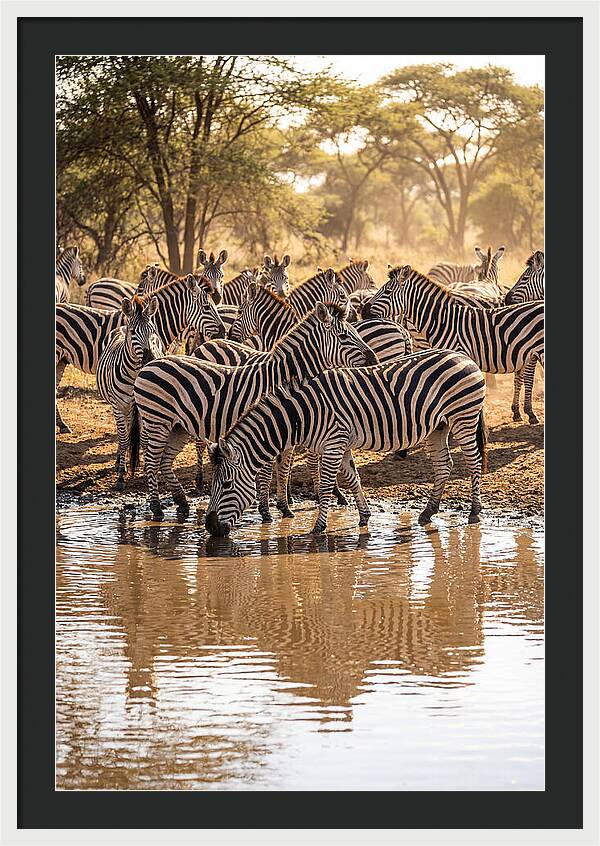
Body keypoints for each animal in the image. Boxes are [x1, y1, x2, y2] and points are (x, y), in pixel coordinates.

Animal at [97, 295, 164, 490]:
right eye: (134, 332)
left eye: (153, 331)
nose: (151, 359)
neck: (135, 375)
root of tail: (121, 327)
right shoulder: (119, 406)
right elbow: (124, 438)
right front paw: (120, 476)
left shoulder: (147, 409)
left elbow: (145, 439)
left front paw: (149, 470)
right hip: (119, 407)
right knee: (123, 434)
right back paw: (120, 461)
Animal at [129, 302, 378, 521]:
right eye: (344, 336)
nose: (374, 359)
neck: (282, 378)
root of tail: (148, 365)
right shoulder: (269, 427)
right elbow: (267, 472)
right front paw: (266, 512)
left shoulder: (287, 430)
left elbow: (284, 468)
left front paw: (285, 508)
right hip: (157, 421)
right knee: (151, 462)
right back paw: (157, 509)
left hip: (178, 427)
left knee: (164, 462)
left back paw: (181, 503)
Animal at [204, 348, 488, 536]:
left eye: (226, 484)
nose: (210, 526)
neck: (304, 413)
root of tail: (464, 357)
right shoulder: (340, 445)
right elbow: (353, 479)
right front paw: (364, 516)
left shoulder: (334, 443)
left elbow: (326, 488)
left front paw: (318, 528)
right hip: (437, 427)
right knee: (444, 466)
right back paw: (428, 512)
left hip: (463, 417)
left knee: (474, 462)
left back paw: (474, 511)